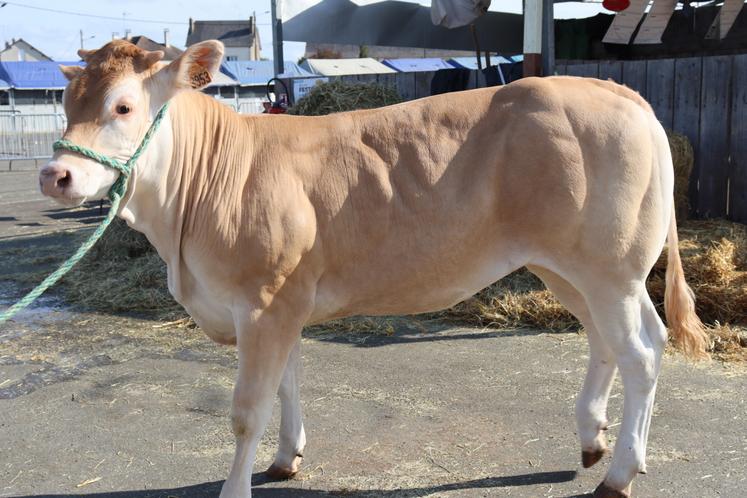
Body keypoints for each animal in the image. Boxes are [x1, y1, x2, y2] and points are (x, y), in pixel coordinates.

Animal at [39, 39, 709, 498]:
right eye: (66, 103)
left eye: (124, 106)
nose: (55, 175)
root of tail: (612, 90)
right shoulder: (284, 302)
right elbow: (288, 383)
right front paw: (287, 458)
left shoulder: (264, 300)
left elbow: (246, 410)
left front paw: (236, 486)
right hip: (569, 268)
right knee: (612, 340)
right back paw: (597, 441)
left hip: (607, 268)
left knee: (641, 352)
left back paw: (619, 473)